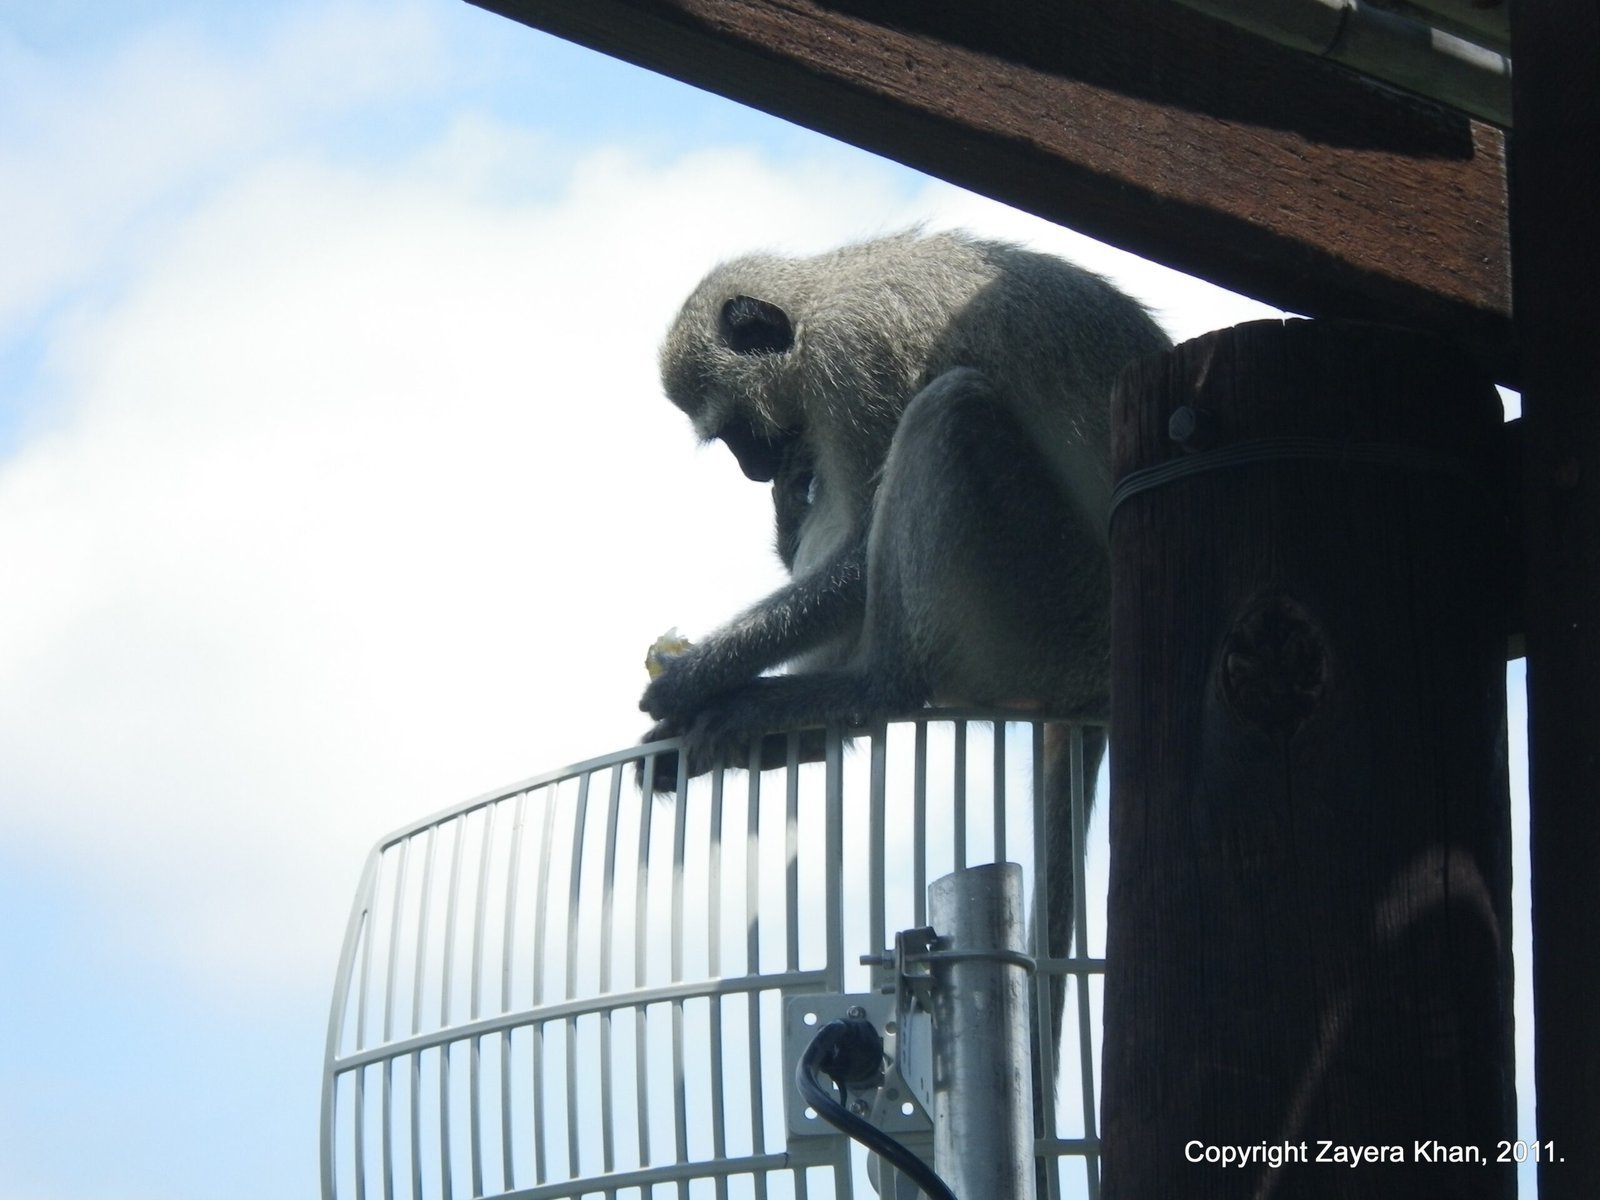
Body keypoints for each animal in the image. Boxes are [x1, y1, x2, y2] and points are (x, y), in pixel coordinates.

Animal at [638, 227, 1170, 1110]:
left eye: (737, 428)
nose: (754, 470)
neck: (822, 294)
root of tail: (1103, 686)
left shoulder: (852, 365)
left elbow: (855, 557)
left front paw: (692, 677)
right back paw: (782, 741)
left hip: (1048, 611)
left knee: (952, 413)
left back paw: (854, 691)